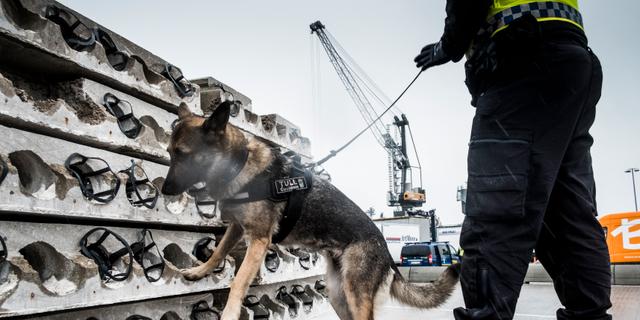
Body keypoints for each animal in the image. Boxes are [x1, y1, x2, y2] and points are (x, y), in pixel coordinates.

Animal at [162, 102, 458, 318]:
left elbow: (238, 282)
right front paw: (200, 270)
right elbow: (218, 252)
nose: (165, 190)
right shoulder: (236, 228)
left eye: (183, 153)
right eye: (169, 152)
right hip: (338, 295)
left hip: (355, 295)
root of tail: (386, 252)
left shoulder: (258, 241)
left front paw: (229, 314)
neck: (239, 164)